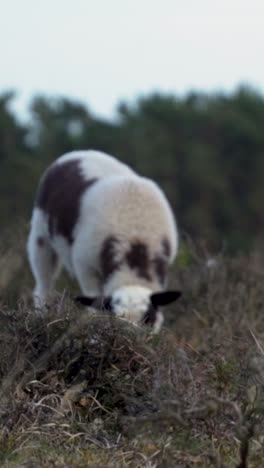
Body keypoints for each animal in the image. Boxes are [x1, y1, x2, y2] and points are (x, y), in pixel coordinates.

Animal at [27, 150, 182, 332]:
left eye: (147, 319)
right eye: (115, 319)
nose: (130, 337)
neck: (135, 243)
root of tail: (79, 153)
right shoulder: (85, 265)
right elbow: (94, 303)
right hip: (40, 234)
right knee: (43, 284)